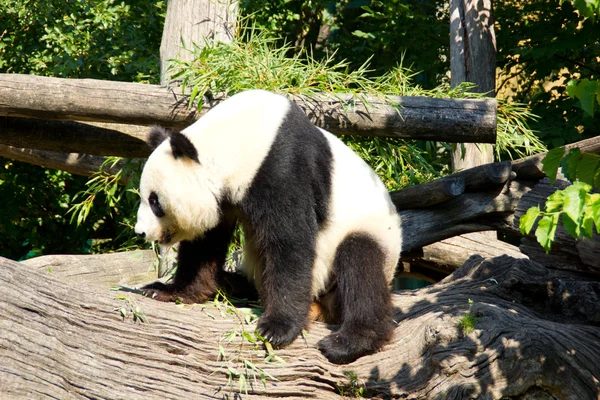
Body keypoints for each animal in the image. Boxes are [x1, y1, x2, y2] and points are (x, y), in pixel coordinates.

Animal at [134, 90, 400, 362]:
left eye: (154, 201)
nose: (140, 232)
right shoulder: (226, 195)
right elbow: (205, 242)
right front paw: (171, 290)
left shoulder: (281, 166)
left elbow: (289, 243)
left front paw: (277, 328)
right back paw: (229, 284)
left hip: (369, 234)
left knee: (361, 266)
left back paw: (349, 341)